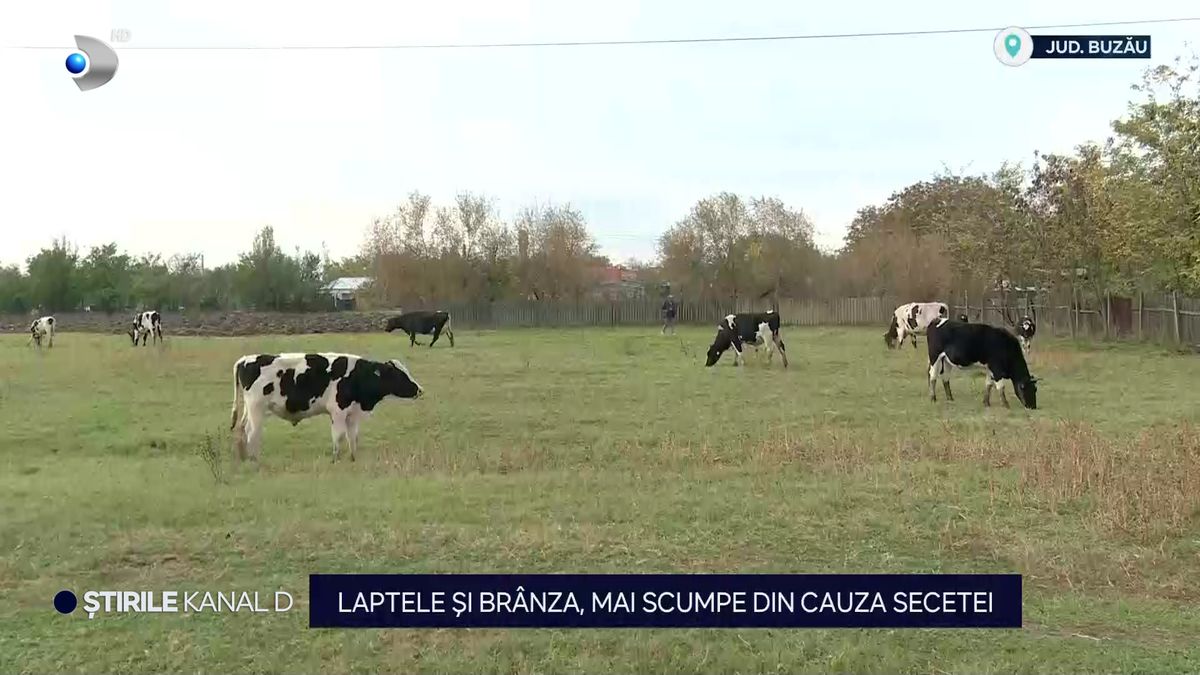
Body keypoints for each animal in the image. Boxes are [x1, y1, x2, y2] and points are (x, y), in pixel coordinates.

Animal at [229, 352, 423, 463]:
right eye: (400, 375)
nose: (420, 389)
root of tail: (245, 359)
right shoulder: (338, 411)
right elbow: (339, 436)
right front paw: (336, 459)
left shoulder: (352, 414)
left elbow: (353, 437)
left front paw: (353, 458)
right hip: (256, 408)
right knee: (252, 432)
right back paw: (254, 459)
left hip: (249, 408)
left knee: (241, 428)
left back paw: (243, 457)